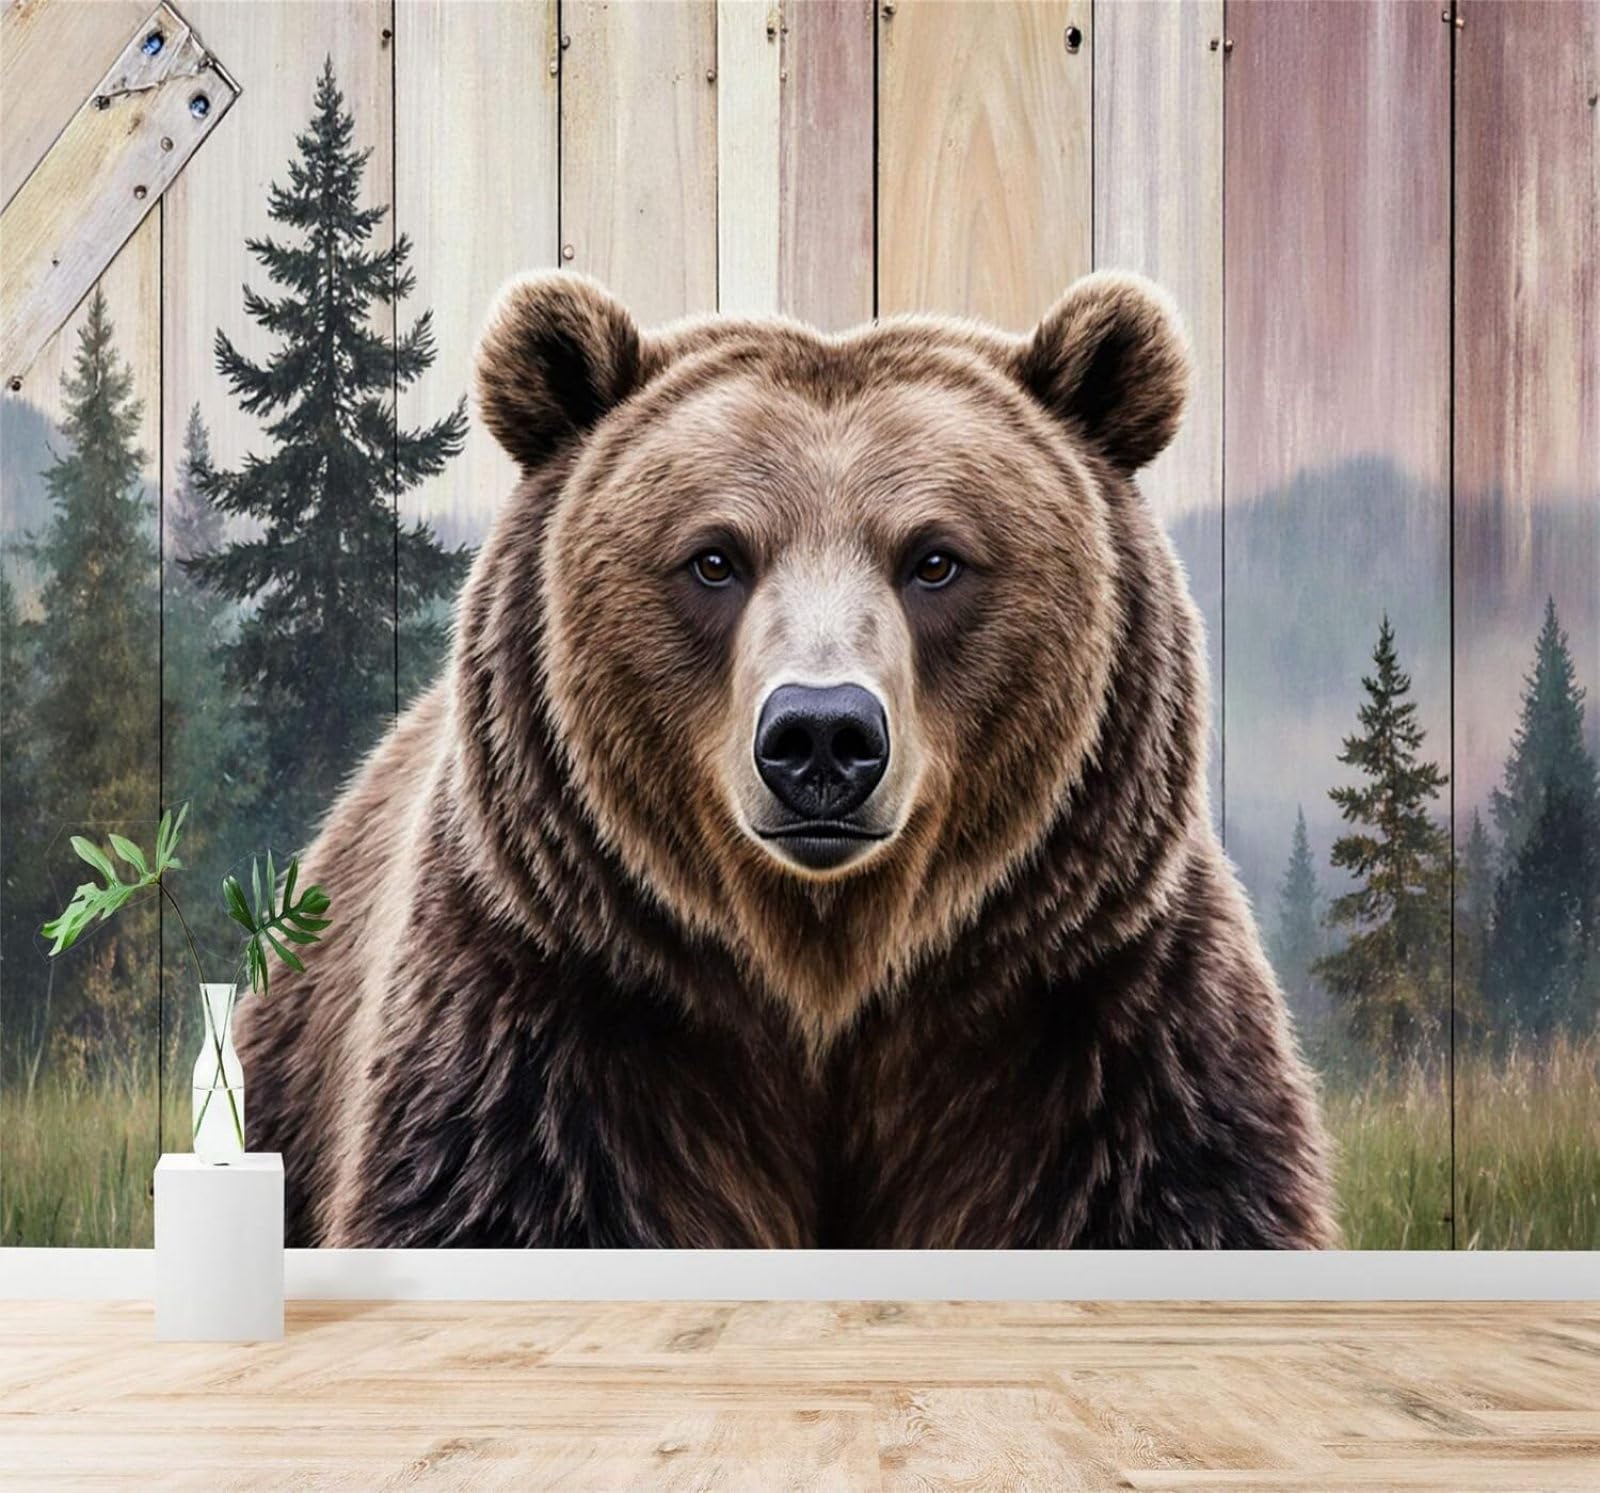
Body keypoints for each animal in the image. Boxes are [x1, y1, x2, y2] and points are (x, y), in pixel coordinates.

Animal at [237, 270, 1337, 1249]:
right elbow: (502, 1198)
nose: (820, 734)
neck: (824, 980)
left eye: (935, 558)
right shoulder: (548, 1025)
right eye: (714, 557)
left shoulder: (1104, 1032)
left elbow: (1177, 1195)